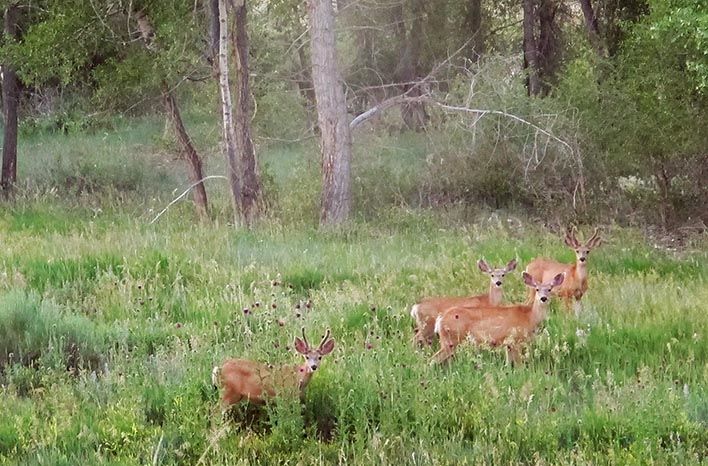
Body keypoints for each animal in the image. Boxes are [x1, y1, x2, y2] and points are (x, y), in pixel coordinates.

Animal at [432, 271, 565, 366]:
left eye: (550, 289)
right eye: (537, 289)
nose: (543, 298)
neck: (530, 317)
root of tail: (440, 319)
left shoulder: (508, 344)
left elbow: (508, 364)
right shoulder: (515, 340)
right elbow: (519, 365)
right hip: (451, 340)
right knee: (433, 359)